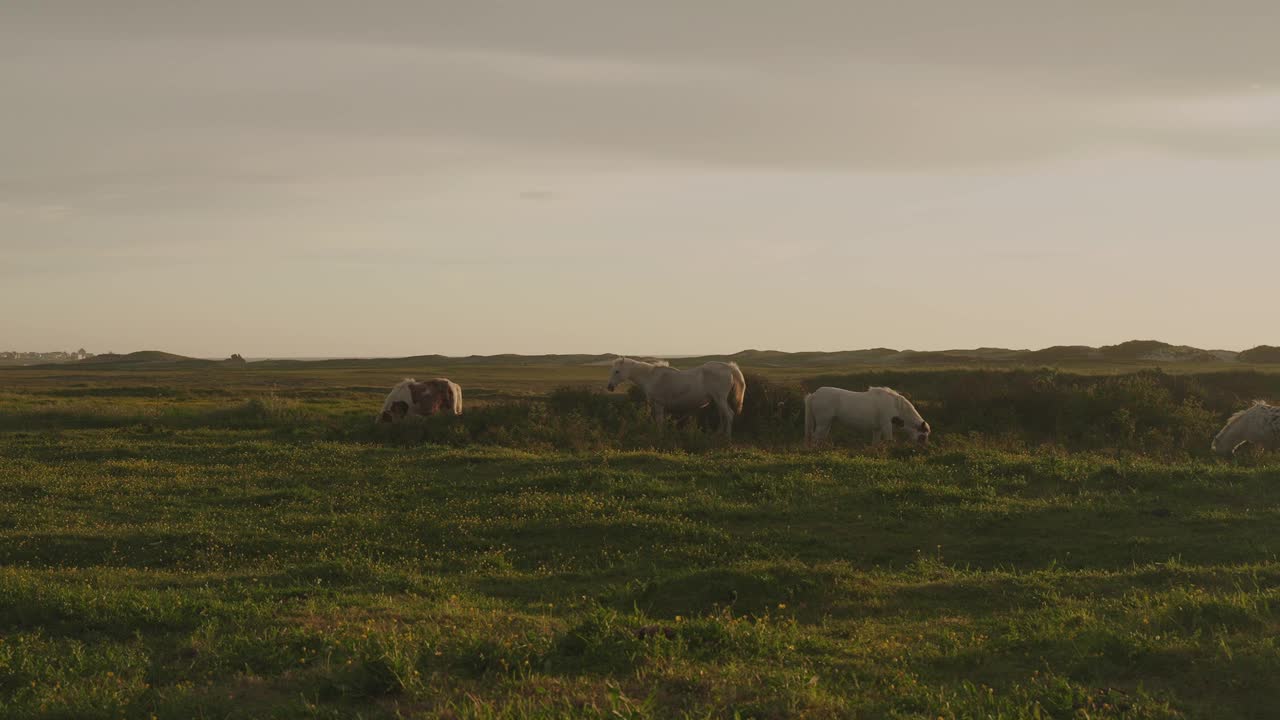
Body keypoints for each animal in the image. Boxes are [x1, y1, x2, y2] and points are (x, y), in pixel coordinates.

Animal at [604, 353, 747, 435]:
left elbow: (659, 422)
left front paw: (659, 436)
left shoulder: (659, 405)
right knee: (723, 416)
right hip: (718, 400)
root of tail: (729, 367)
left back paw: (727, 438)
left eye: (617, 371)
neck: (651, 377)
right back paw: (718, 435)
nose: (609, 387)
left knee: (729, 415)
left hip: (720, 399)